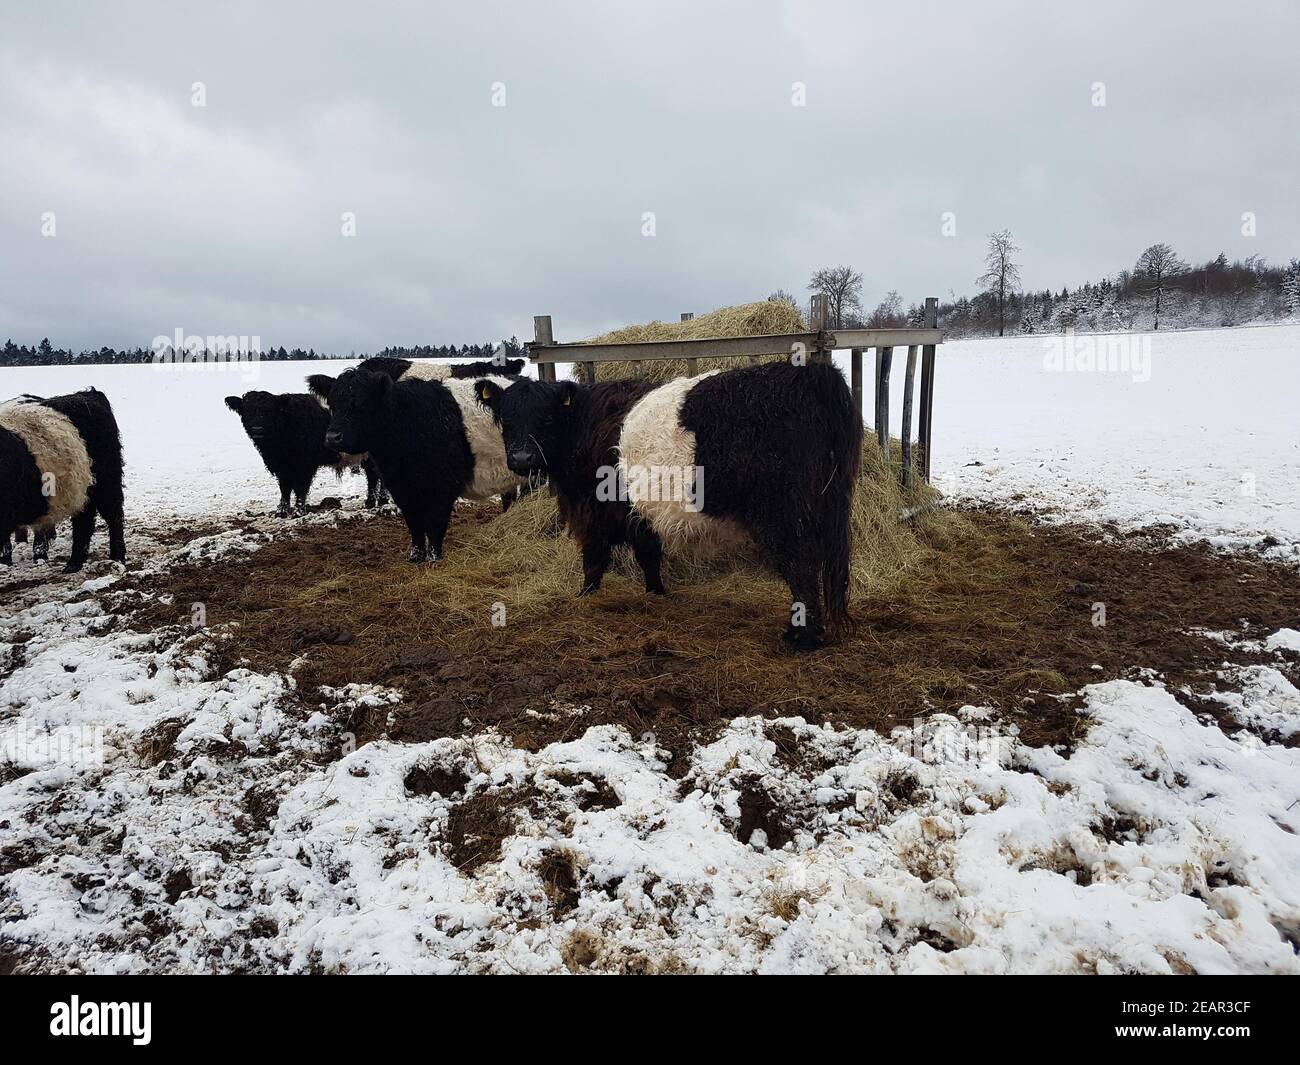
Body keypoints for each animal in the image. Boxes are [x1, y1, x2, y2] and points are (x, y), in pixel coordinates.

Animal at [0, 390, 126, 574]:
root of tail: (88, 393)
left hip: (107, 483)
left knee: (112, 516)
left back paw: (116, 558)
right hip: (83, 490)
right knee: (85, 521)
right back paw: (74, 563)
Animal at [223, 395, 382, 520]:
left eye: (269, 411)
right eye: (247, 410)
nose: (257, 429)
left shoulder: (305, 465)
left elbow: (300, 488)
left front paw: (299, 511)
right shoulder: (282, 467)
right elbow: (284, 488)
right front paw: (281, 511)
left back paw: (380, 500)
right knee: (373, 477)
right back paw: (371, 502)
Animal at [318, 369, 522, 561]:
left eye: (362, 404)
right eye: (332, 405)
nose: (332, 437)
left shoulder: (443, 488)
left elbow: (435, 525)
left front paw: (434, 557)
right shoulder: (401, 489)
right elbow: (414, 524)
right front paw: (416, 556)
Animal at [478, 361, 863, 650]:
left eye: (546, 417)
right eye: (506, 419)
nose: (522, 458)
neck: (582, 426)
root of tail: (811, 375)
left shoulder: (592, 510)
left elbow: (594, 559)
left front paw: (585, 597)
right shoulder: (638, 514)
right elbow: (648, 556)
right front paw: (657, 594)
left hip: (785, 517)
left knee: (802, 572)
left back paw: (803, 638)